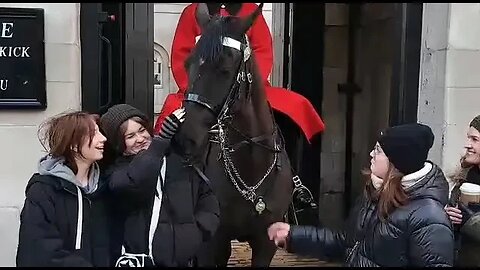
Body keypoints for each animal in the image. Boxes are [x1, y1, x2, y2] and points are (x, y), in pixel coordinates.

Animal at [174, 3, 296, 266]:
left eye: (225, 68)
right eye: (188, 64)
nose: (186, 138)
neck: (251, 166)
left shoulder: (266, 243)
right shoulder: (214, 243)